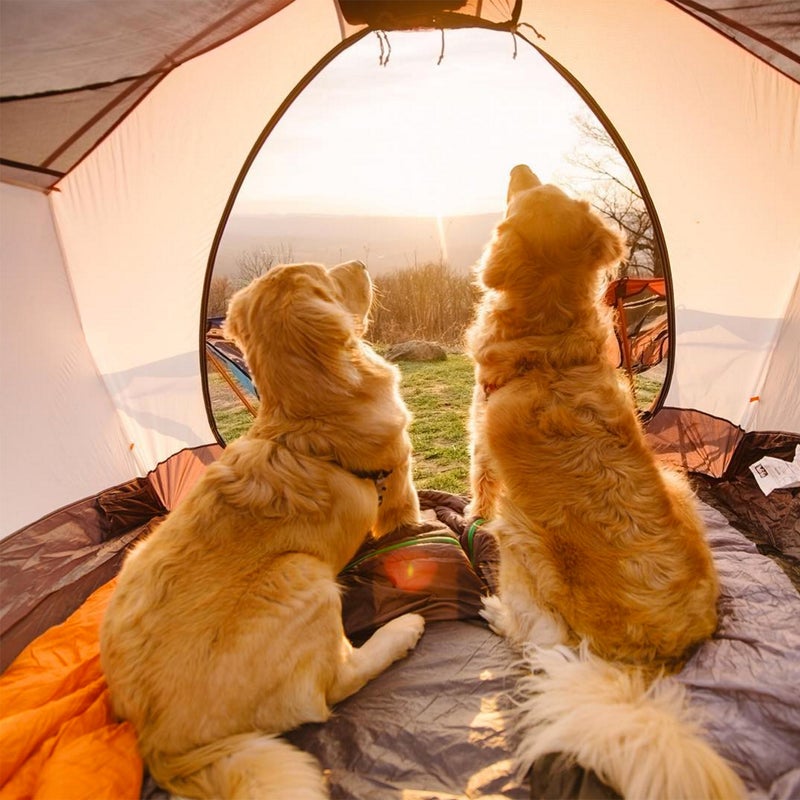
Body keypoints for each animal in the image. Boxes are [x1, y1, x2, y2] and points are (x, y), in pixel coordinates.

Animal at [101, 260, 424, 796]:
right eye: (327, 277)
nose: (360, 264)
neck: (307, 419)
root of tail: (157, 743)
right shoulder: (398, 482)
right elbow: (414, 515)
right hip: (300, 574)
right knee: (334, 685)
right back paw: (401, 631)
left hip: (136, 556)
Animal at [466, 166, 748, 796]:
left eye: (524, 196)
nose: (518, 167)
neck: (550, 338)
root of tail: (656, 658)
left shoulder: (481, 448)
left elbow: (476, 495)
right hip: (677, 482)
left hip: (521, 535)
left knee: (534, 637)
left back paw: (495, 612)